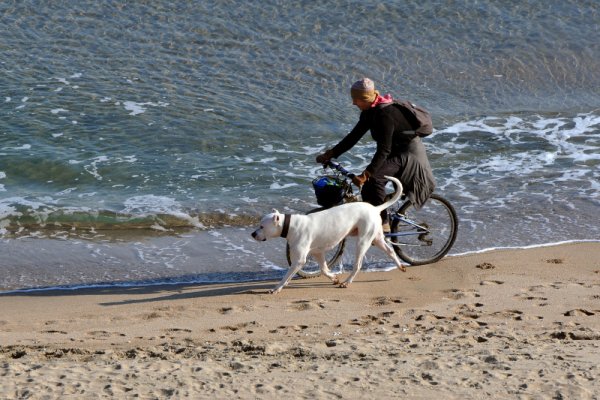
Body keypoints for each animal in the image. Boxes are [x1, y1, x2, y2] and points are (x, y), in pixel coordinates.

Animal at [251, 176, 406, 294]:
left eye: (262, 226)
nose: (252, 234)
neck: (290, 225)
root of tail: (375, 208)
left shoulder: (299, 260)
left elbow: (287, 275)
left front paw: (277, 288)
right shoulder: (318, 253)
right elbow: (324, 270)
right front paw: (334, 278)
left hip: (363, 241)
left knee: (358, 265)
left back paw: (347, 282)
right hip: (376, 237)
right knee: (390, 250)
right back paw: (400, 266)